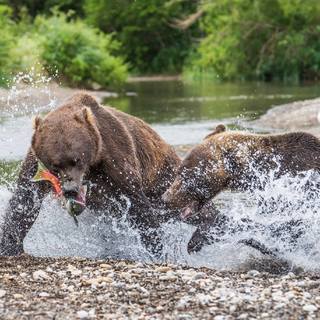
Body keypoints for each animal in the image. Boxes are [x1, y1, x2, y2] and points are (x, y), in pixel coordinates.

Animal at [1, 92, 182, 255]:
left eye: (76, 160)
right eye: (55, 166)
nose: (70, 190)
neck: (93, 162)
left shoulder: (115, 155)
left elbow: (136, 202)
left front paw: (155, 247)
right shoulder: (36, 164)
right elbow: (24, 200)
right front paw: (9, 245)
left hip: (165, 178)